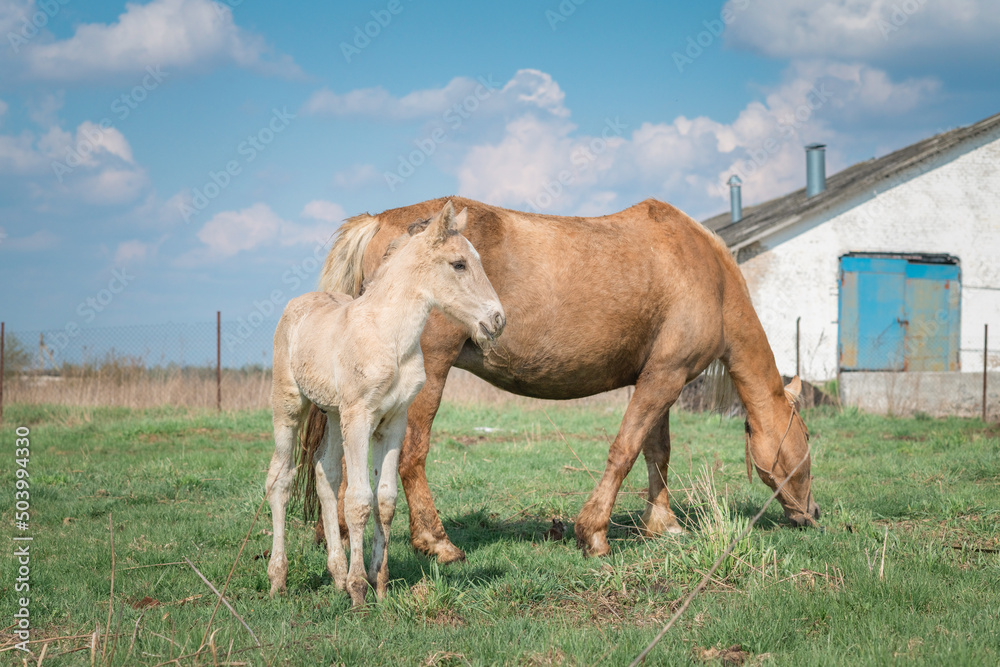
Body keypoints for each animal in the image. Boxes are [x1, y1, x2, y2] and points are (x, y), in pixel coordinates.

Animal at [266, 202, 505, 605]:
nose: (498, 320)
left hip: (333, 414)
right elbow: (359, 500)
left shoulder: (393, 422)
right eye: (459, 264)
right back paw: (278, 579)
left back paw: (335, 574)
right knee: (280, 480)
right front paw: (359, 589)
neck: (389, 336)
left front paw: (379, 583)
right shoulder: (360, 417)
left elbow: (386, 500)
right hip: (290, 406)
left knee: (325, 473)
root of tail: (300, 302)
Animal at [298, 196, 820, 561]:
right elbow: (626, 450)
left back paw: (342, 538)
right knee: (411, 456)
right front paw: (594, 534)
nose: (812, 513)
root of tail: (378, 221)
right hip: (425, 378)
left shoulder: (659, 378)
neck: (708, 275)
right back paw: (436, 542)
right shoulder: (664, 379)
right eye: (808, 439)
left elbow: (657, 451)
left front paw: (663, 523)